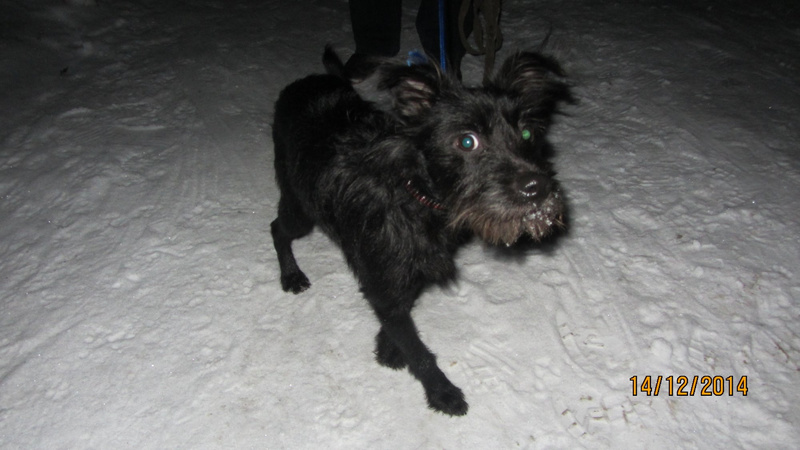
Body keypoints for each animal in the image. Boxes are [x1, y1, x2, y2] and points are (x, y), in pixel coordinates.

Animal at [270, 47, 570, 416]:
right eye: (467, 141)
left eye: (528, 133)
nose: (538, 188)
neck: (417, 195)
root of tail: (303, 83)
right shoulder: (384, 277)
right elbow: (418, 350)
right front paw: (442, 392)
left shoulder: (410, 269)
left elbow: (401, 316)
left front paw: (388, 346)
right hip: (300, 209)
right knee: (277, 229)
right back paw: (290, 275)